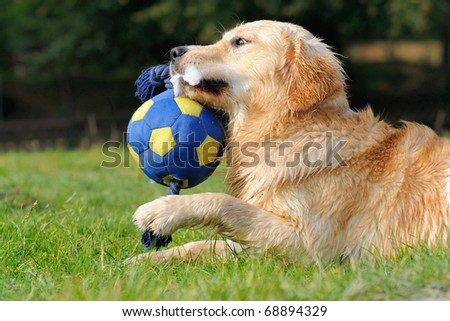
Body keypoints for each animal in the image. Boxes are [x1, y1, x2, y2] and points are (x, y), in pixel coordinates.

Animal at [129, 20, 446, 264]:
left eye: (240, 41)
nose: (173, 52)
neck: (287, 131)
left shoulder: (311, 248)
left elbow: (225, 203)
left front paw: (162, 212)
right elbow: (204, 245)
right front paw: (140, 263)